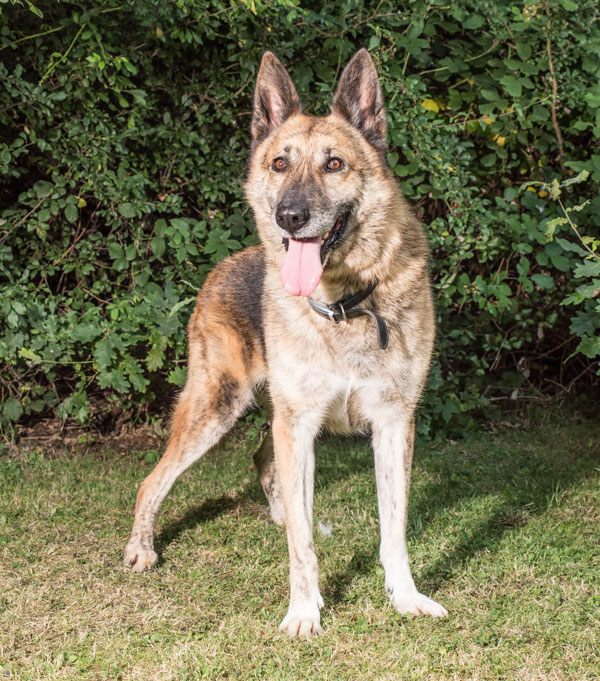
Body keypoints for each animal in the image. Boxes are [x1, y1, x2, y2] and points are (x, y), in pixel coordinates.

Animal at [124, 49, 448, 636]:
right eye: (280, 164)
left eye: (334, 164)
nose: (290, 217)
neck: (345, 302)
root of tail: (223, 264)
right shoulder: (298, 424)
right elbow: (301, 549)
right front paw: (304, 610)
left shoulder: (392, 424)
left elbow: (393, 530)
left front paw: (405, 597)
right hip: (217, 407)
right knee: (153, 478)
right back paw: (142, 548)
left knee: (264, 463)